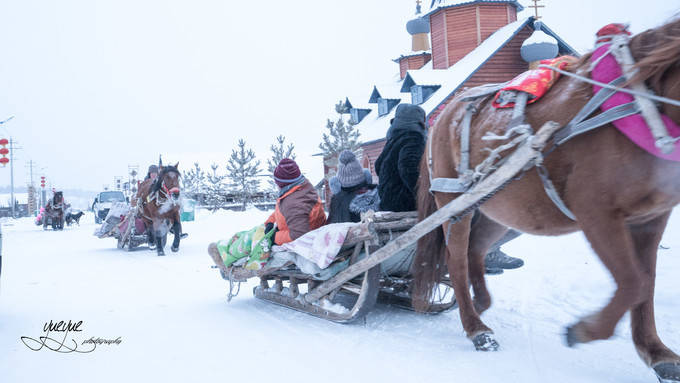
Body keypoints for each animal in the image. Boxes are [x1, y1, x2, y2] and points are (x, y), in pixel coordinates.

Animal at [412, 17, 680, 380]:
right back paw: (476, 328)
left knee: (475, 251)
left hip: (500, 207)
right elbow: (632, 281)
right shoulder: (596, 212)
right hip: (455, 205)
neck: (642, 97)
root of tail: (443, 115)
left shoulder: (651, 218)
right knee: (456, 260)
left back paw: (480, 302)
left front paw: (655, 351)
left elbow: (645, 282)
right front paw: (586, 330)